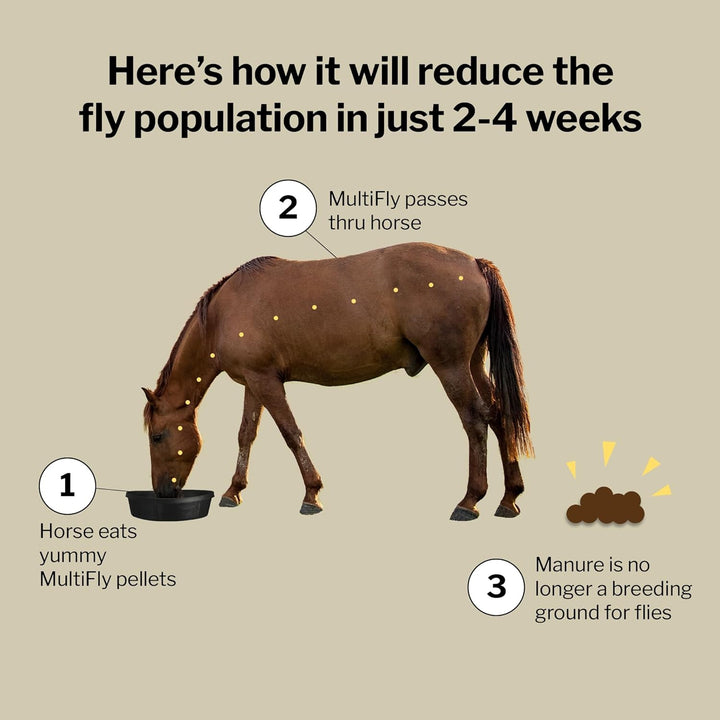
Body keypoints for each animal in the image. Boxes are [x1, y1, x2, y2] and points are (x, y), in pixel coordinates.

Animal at [142, 242, 533, 521]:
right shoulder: (253, 382)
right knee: (498, 415)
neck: (222, 315)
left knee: (475, 419)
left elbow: (290, 433)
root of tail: (475, 263)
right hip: (473, 363)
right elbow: (246, 435)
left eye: (157, 436)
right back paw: (508, 497)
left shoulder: (267, 382)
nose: (162, 492)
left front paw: (311, 494)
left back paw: (469, 501)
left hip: (450, 365)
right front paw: (233, 490)